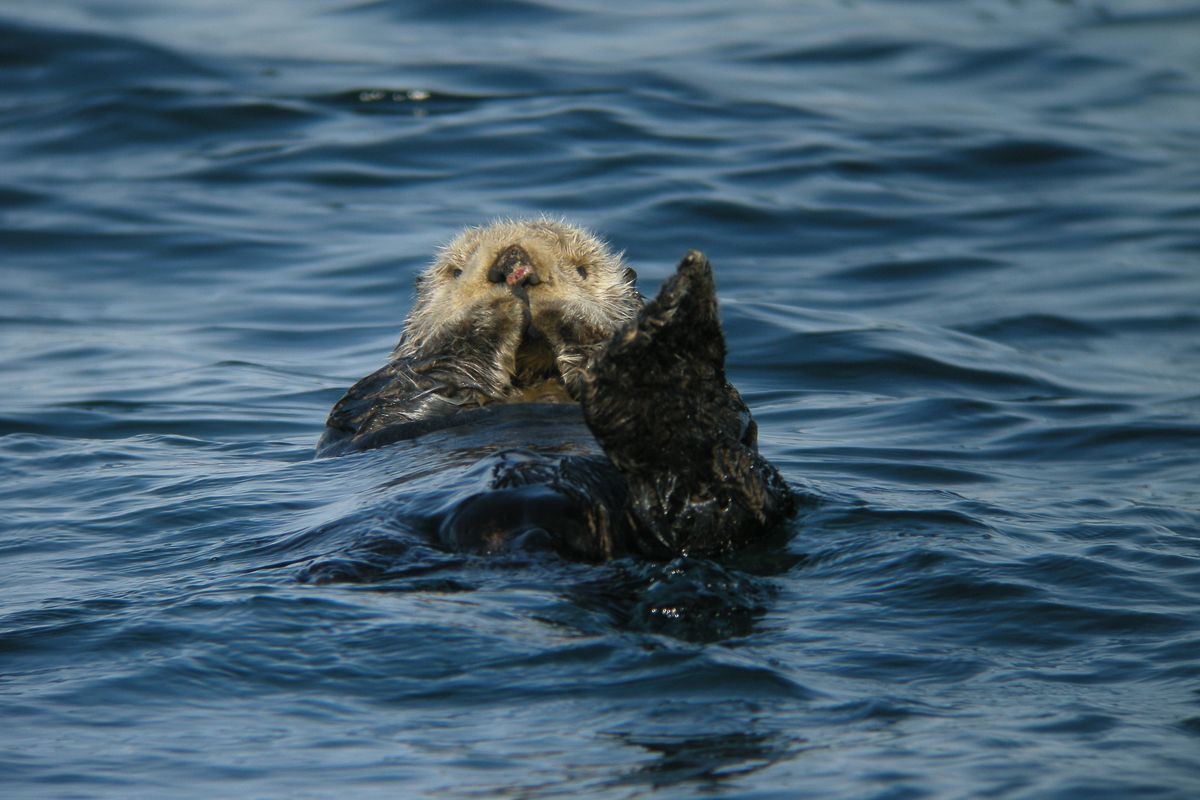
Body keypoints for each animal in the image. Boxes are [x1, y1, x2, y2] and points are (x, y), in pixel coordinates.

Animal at [318, 219, 795, 560]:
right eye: (455, 270)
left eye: (583, 269)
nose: (514, 265)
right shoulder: (375, 399)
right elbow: (408, 390)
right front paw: (492, 307)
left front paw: (563, 309)